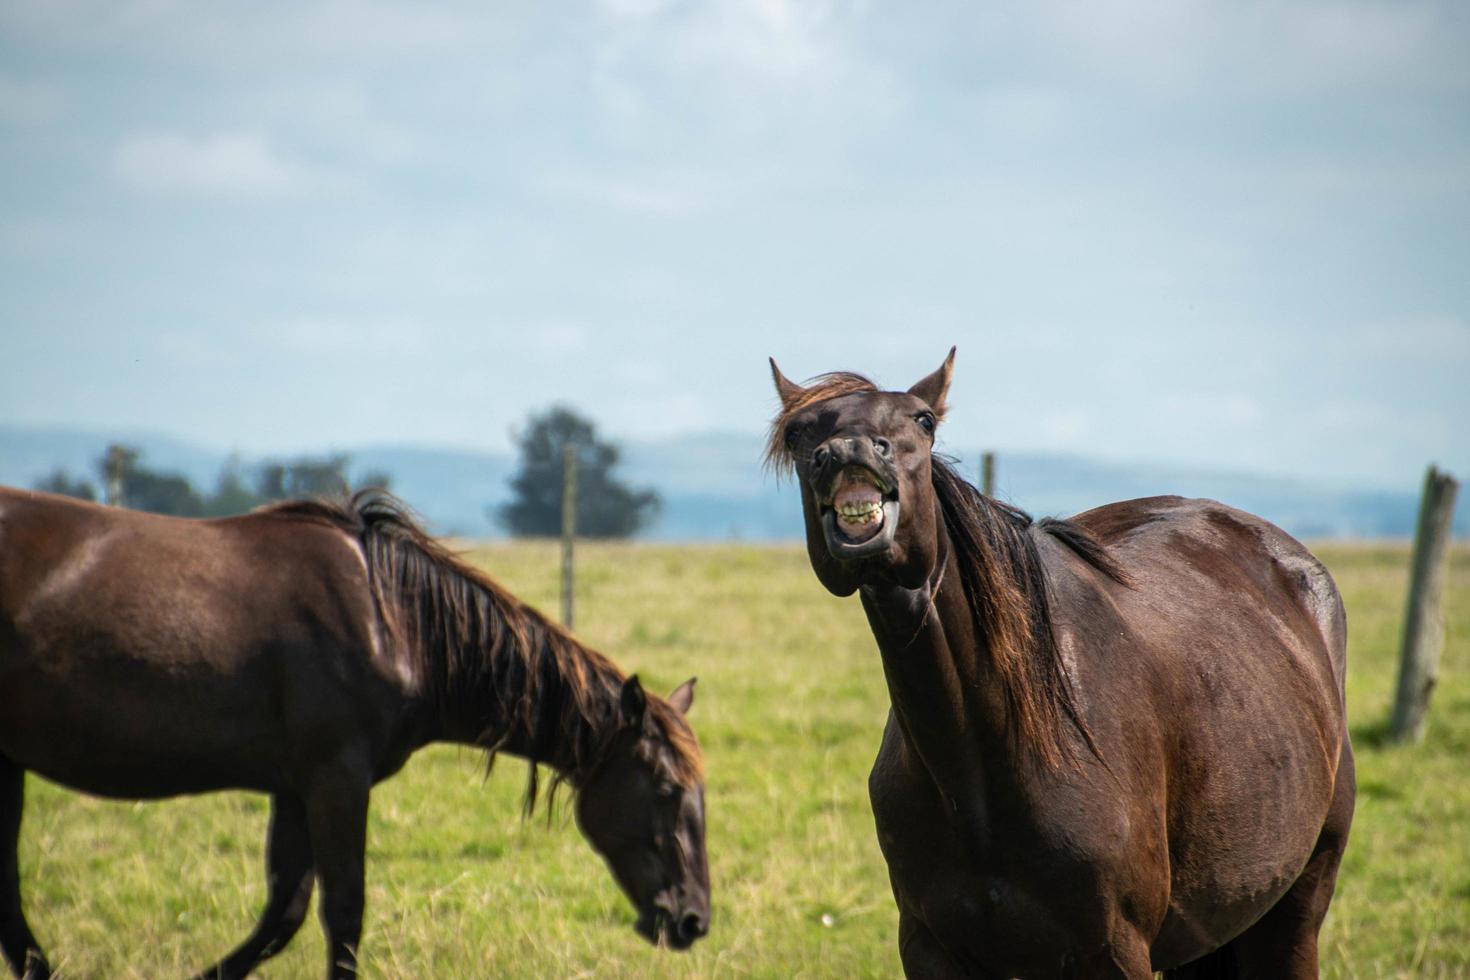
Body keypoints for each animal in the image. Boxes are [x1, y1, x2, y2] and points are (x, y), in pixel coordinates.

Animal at [0, 490, 705, 980]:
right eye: (666, 789)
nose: (694, 919)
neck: (393, 622)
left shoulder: (294, 789)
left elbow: (283, 913)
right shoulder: (336, 780)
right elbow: (343, 911)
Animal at [770, 348, 1352, 975]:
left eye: (923, 421)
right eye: (800, 432)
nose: (850, 451)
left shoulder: (1115, 950)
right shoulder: (930, 948)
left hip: (1298, 905)